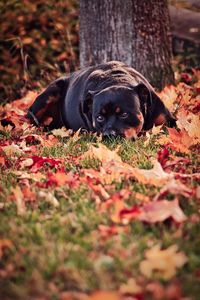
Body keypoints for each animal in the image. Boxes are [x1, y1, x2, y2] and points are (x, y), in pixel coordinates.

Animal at [27, 61, 175, 140]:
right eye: (99, 117)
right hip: (50, 93)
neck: (115, 79)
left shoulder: (167, 118)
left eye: (124, 114)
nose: (109, 135)